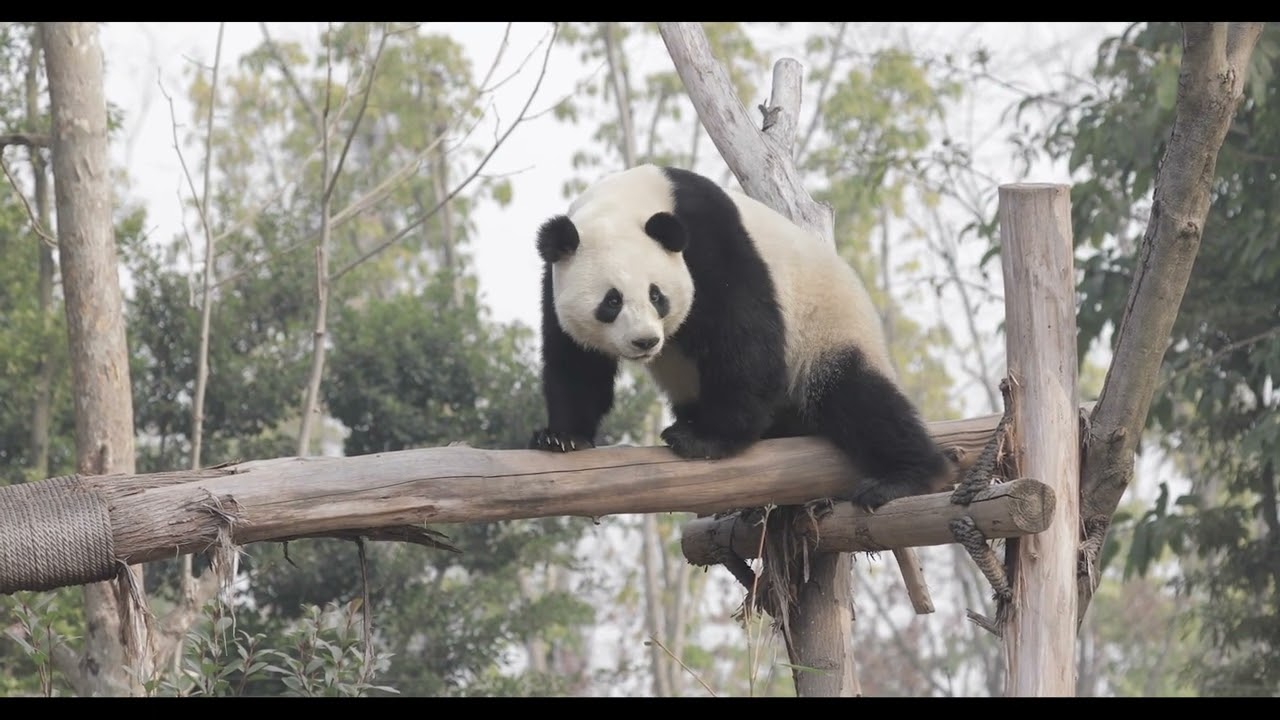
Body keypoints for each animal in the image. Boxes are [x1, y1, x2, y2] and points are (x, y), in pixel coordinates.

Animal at [528, 164, 953, 510]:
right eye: (611, 301)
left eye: (656, 295)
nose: (645, 342)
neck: (626, 201)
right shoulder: (555, 275)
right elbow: (575, 360)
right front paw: (562, 437)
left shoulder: (710, 238)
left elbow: (743, 334)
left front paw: (707, 440)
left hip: (828, 333)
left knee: (859, 398)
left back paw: (904, 477)